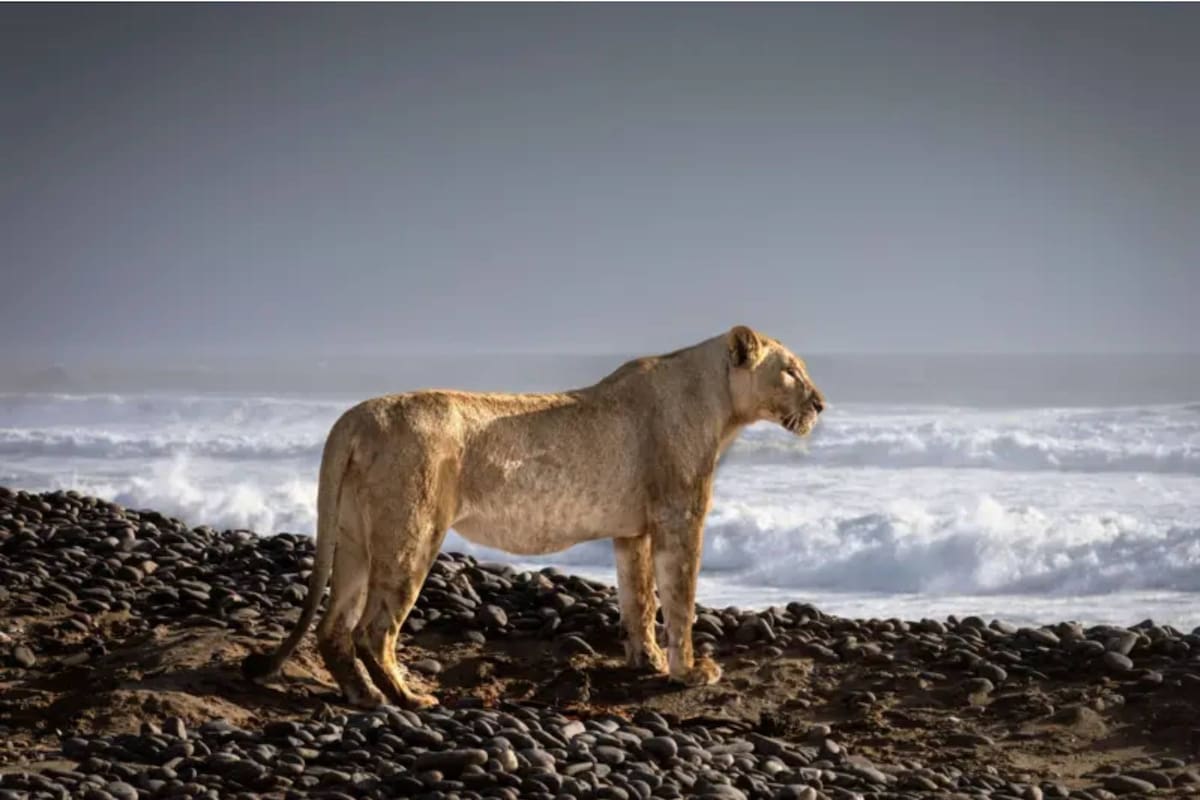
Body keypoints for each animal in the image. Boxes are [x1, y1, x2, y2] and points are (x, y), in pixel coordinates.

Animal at [243, 325, 825, 708]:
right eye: (791, 371)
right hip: (412, 531)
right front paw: (690, 672)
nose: (820, 403)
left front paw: (648, 661)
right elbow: (679, 600)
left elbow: (637, 600)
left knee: (333, 627)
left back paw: (362, 695)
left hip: (353, 535)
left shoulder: (631, 532)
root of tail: (354, 418)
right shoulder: (680, 517)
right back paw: (409, 698)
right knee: (373, 628)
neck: (718, 402)